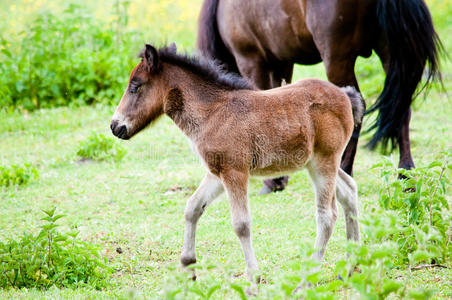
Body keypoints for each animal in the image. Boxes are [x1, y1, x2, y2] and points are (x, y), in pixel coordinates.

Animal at [111, 44, 366, 286]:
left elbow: (241, 224)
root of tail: (345, 95)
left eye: (134, 87)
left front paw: (253, 278)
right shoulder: (216, 172)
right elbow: (192, 208)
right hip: (318, 164)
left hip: (324, 162)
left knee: (327, 216)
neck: (212, 113)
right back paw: (352, 267)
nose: (115, 126)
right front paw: (188, 267)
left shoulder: (235, 172)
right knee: (349, 191)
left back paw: (307, 280)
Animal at [198, 0, 442, 195]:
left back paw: (344, 169)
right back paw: (406, 175)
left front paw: (272, 181)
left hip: (337, 59)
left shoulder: (252, 60)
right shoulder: (282, 62)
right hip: (390, 53)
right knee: (401, 107)